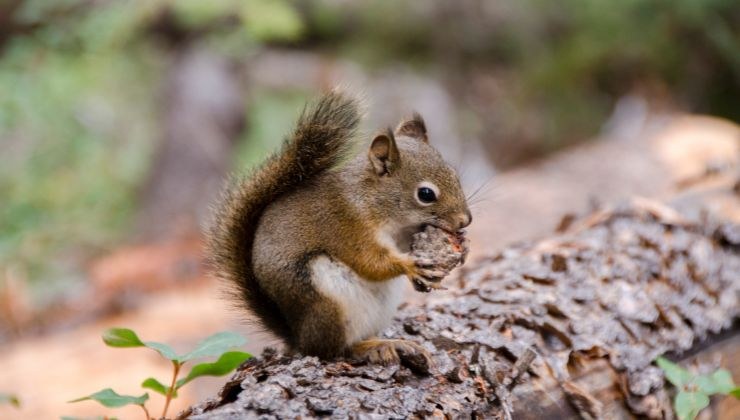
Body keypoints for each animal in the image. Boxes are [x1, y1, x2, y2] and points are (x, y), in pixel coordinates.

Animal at [207, 89, 474, 364]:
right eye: (426, 194)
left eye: (454, 175)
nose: (465, 220)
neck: (374, 201)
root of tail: (298, 337)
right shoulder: (348, 226)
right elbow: (370, 263)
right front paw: (410, 265)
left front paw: (463, 245)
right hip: (327, 301)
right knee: (331, 350)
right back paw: (373, 346)